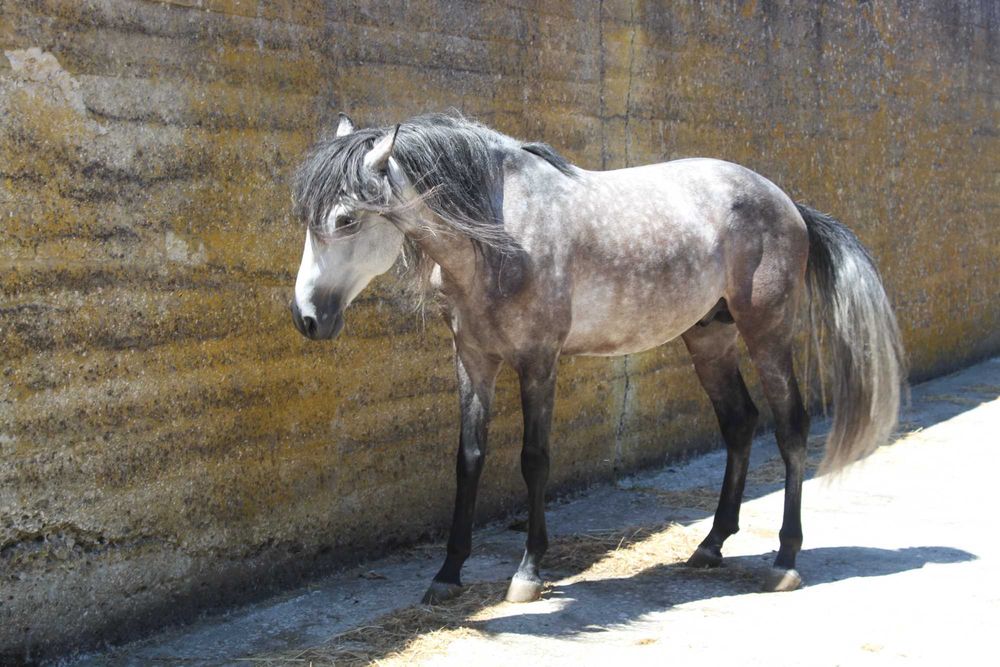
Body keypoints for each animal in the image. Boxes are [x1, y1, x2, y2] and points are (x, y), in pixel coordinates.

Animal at [289, 112, 905, 604]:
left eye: (345, 219)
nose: (307, 318)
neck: (501, 235)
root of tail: (786, 202)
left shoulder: (538, 361)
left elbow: (534, 459)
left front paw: (528, 572)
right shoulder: (473, 358)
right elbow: (468, 459)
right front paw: (447, 574)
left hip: (767, 335)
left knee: (790, 428)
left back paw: (784, 560)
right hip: (710, 339)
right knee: (738, 423)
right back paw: (710, 546)